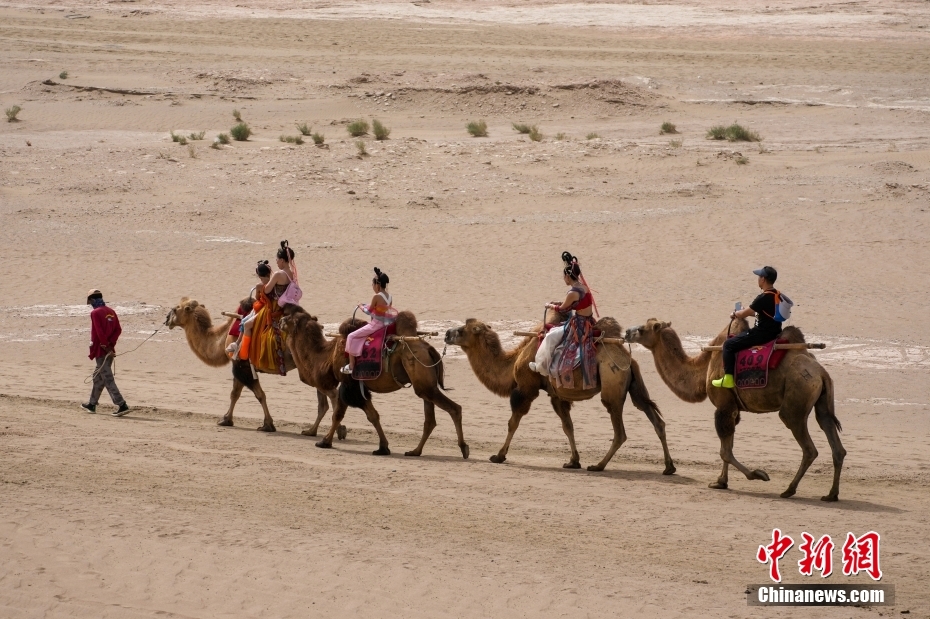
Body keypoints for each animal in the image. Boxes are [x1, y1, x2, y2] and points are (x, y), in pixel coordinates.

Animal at [164, 298, 344, 438]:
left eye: (176, 308)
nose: (166, 319)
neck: (222, 339)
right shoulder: (240, 365)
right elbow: (236, 394)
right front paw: (227, 419)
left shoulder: (241, 363)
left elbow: (258, 395)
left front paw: (267, 425)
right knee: (323, 401)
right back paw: (312, 431)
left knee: (331, 394)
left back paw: (337, 431)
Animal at [274, 308, 464, 458]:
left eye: (291, 318)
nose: (280, 320)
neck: (327, 357)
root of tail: (429, 348)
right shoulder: (359, 387)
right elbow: (373, 416)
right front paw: (383, 447)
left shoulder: (348, 384)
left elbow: (338, 414)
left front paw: (325, 441)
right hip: (424, 384)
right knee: (430, 419)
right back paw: (415, 451)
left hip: (424, 382)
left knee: (454, 408)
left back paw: (463, 448)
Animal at [442, 314, 676, 474]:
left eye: (463, 330)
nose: (446, 334)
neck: (514, 360)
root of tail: (629, 359)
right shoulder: (556, 395)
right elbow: (568, 427)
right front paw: (573, 461)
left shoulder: (526, 389)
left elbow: (512, 423)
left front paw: (499, 455)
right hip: (634, 387)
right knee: (656, 420)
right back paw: (669, 467)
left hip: (612, 387)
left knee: (620, 431)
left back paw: (598, 465)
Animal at [620, 320, 844, 504]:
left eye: (643, 328)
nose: (627, 332)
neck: (704, 368)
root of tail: (821, 372)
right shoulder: (733, 409)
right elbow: (729, 445)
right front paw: (721, 482)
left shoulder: (723, 405)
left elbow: (725, 451)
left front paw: (757, 474)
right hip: (823, 402)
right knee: (834, 440)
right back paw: (831, 494)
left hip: (796, 399)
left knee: (808, 447)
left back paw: (789, 490)